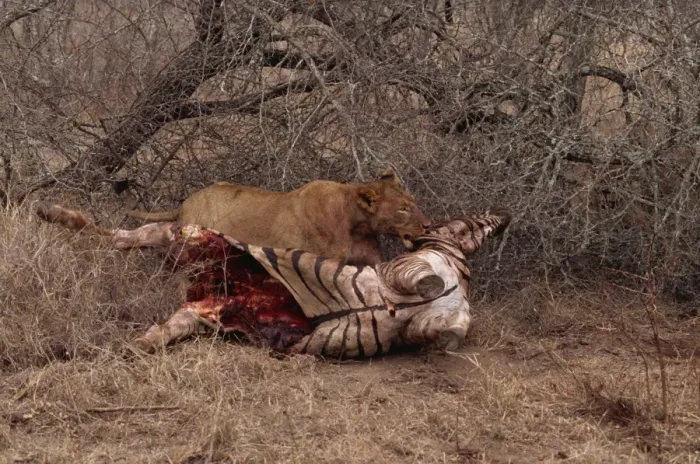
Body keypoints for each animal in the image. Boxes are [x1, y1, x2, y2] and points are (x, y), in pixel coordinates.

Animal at [124, 172, 431, 265]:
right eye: (403, 208)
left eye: (414, 203)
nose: (428, 224)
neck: (357, 222)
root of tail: (184, 204)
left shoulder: (372, 261)